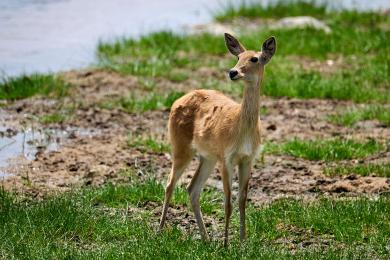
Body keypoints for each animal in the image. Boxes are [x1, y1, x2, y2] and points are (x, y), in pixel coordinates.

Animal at [157, 33, 276, 246]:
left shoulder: (248, 158)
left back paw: (205, 238)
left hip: (207, 157)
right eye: (238, 57)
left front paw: (243, 242)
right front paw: (227, 244)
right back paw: (160, 231)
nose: (233, 72)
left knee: (192, 188)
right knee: (170, 184)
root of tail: (177, 100)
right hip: (181, 146)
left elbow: (242, 199)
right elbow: (228, 201)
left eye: (254, 58)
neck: (241, 130)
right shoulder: (226, 157)